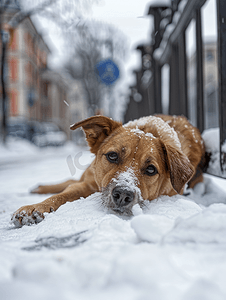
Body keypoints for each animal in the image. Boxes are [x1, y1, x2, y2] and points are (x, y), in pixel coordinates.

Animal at [11, 113, 205, 226]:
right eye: (112, 156)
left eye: (151, 170)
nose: (123, 194)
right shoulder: (88, 184)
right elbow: (62, 194)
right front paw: (35, 207)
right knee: (70, 181)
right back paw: (40, 188)